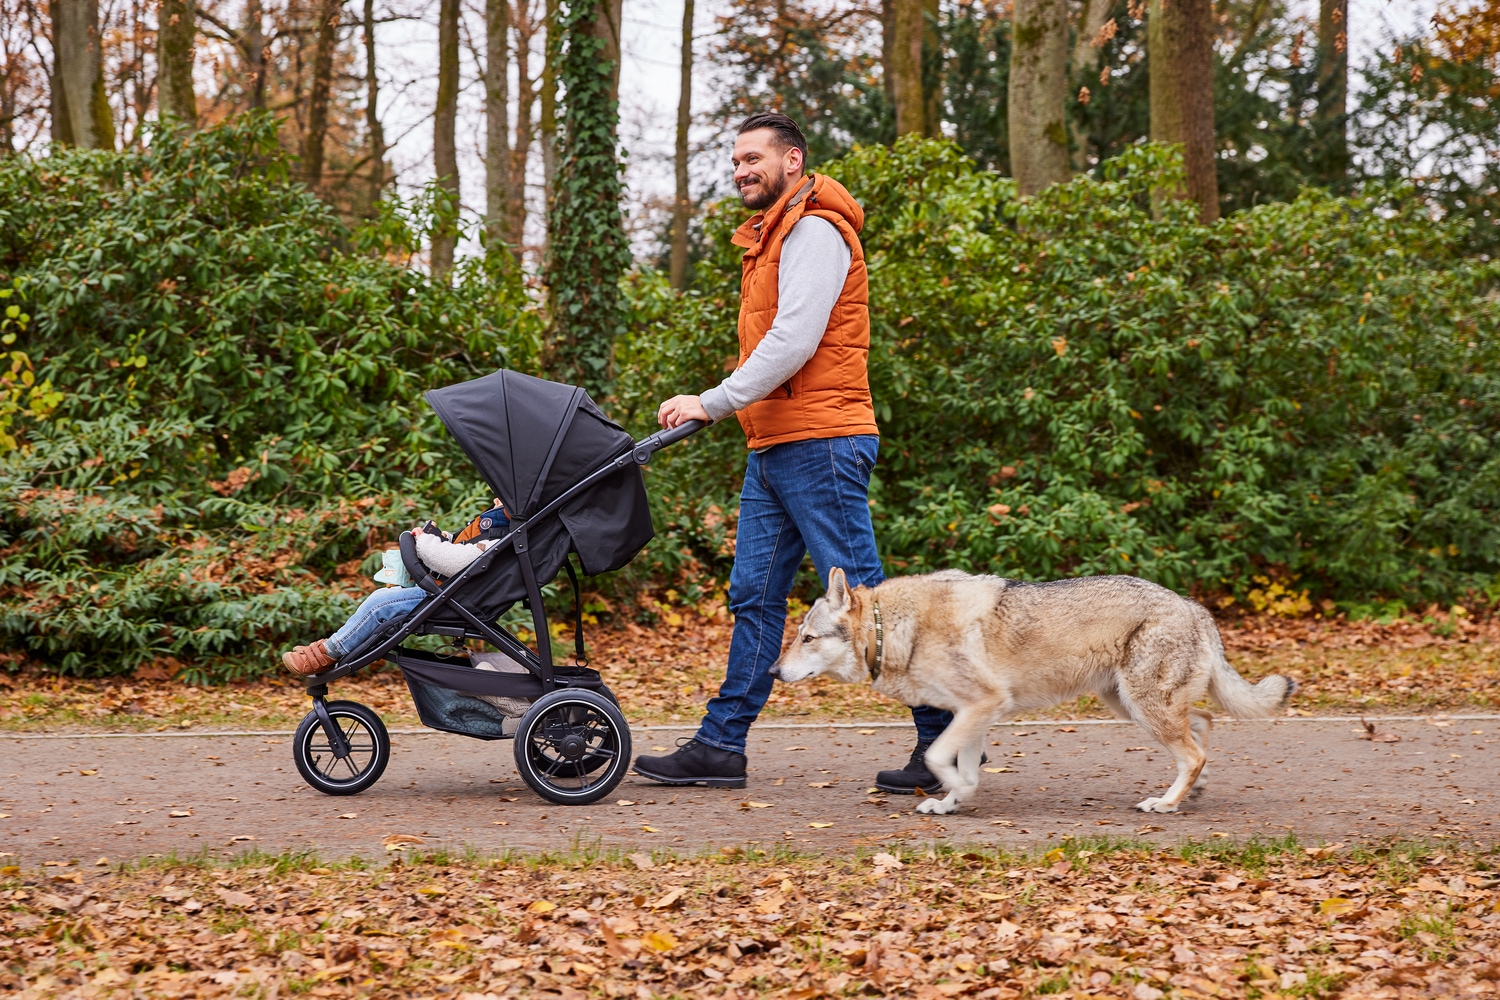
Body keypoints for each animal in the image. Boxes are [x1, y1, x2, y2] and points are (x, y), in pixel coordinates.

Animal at [768, 566, 1296, 815]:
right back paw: (1190, 791)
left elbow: (939, 758)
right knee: (1203, 727)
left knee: (1194, 751)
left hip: (1143, 708)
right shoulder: (973, 715)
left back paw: (1165, 803)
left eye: (806, 638)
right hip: (1131, 706)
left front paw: (956, 793)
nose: (772, 671)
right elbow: (960, 767)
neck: (892, 628)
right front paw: (950, 803)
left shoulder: (981, 706)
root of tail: (1194, 606)